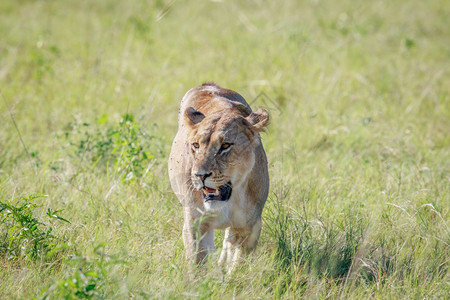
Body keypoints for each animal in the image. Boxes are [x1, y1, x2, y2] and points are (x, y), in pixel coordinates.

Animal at [168, 82, 268, 268]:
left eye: (225, 145)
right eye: (196, 145)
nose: (200, 175)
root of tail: (209, 84)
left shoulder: (251, 227)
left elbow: (239, 265)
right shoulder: (195, 223)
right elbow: (198, 263)